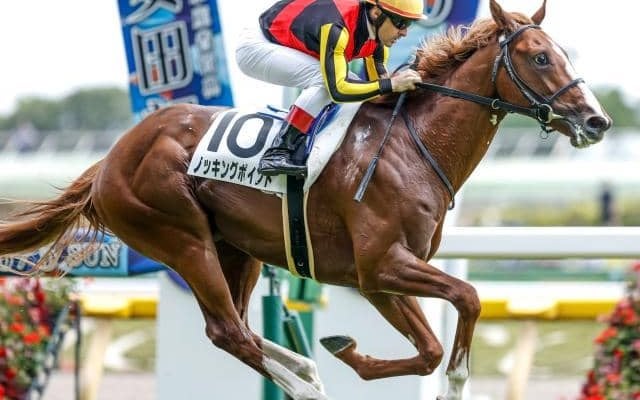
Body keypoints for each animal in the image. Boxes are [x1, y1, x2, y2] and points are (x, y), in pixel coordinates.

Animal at [0, 1, 611, 399]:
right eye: (539, 58)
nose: (597, 121)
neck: (413, 144)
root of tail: (109, 160)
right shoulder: (382, 264)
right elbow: (468, 299)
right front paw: (444, 382)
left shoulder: (379, 276)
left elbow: (431, 350)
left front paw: (346, 351)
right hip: (181, 239)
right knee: (229, 332)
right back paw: (306, 385)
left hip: (236, 249)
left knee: (238, 330)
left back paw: (307, 369)